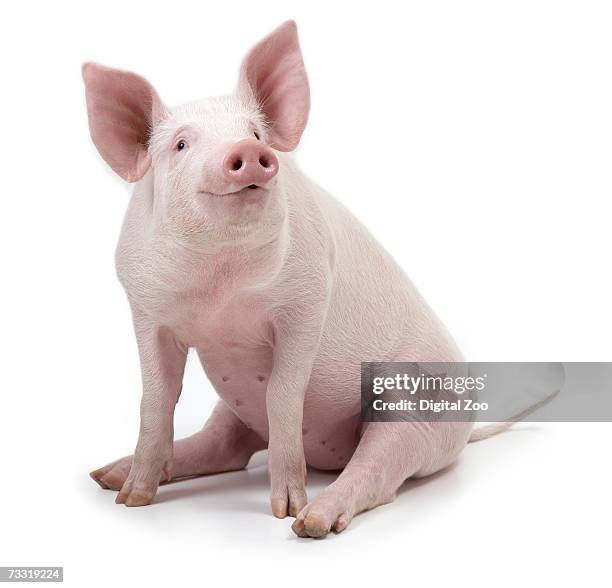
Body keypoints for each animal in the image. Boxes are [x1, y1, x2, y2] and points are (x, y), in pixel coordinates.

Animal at [82, 21, 498, 536]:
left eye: (256, 131)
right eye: (180, 144)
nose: (248, 150)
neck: (219, 287)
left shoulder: (307, 299)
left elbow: (282, 394)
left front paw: (286, 510)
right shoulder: (145, 307)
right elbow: (156, 398)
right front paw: (131, 499)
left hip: (416, 411)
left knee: (379, 469)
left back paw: (312, 522)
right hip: (233, 408)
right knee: (225, 445)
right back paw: (107, 474)